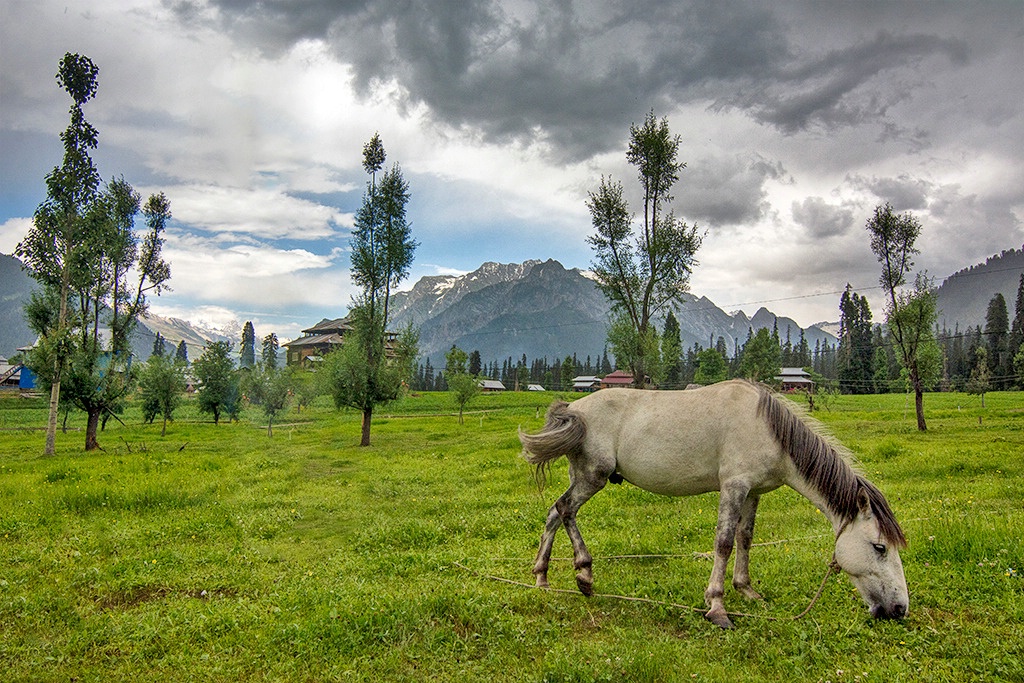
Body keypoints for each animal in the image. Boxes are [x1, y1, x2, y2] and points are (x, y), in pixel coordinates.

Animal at [520, 382, 905, 626]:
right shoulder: (733, 487)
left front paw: (747, 591)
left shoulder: (753, 492)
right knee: (566, 510)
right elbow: (723, 542)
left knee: (554, 513)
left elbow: (745, 539)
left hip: (581, 478)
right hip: (592, 477)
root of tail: (573, 408)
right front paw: (717, 606)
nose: (900, 608)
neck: (768, 429)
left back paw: (541, 578)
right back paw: (584, 574)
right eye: (880, 547)